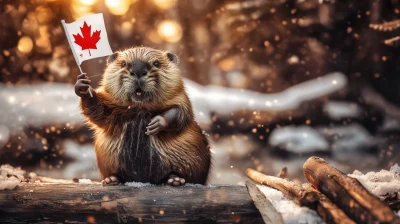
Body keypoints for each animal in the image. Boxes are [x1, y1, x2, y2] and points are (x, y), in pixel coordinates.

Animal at [76, 46, 212, 186]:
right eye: (123, 63)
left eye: (157, 63)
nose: (138, 71)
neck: (140, 108)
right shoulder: (112, 105)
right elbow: (98, 112)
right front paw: (82, 87)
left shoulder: (180, 98)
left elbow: (181, 113)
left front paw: (154, 124)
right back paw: (111, 180)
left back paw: (175, 180)